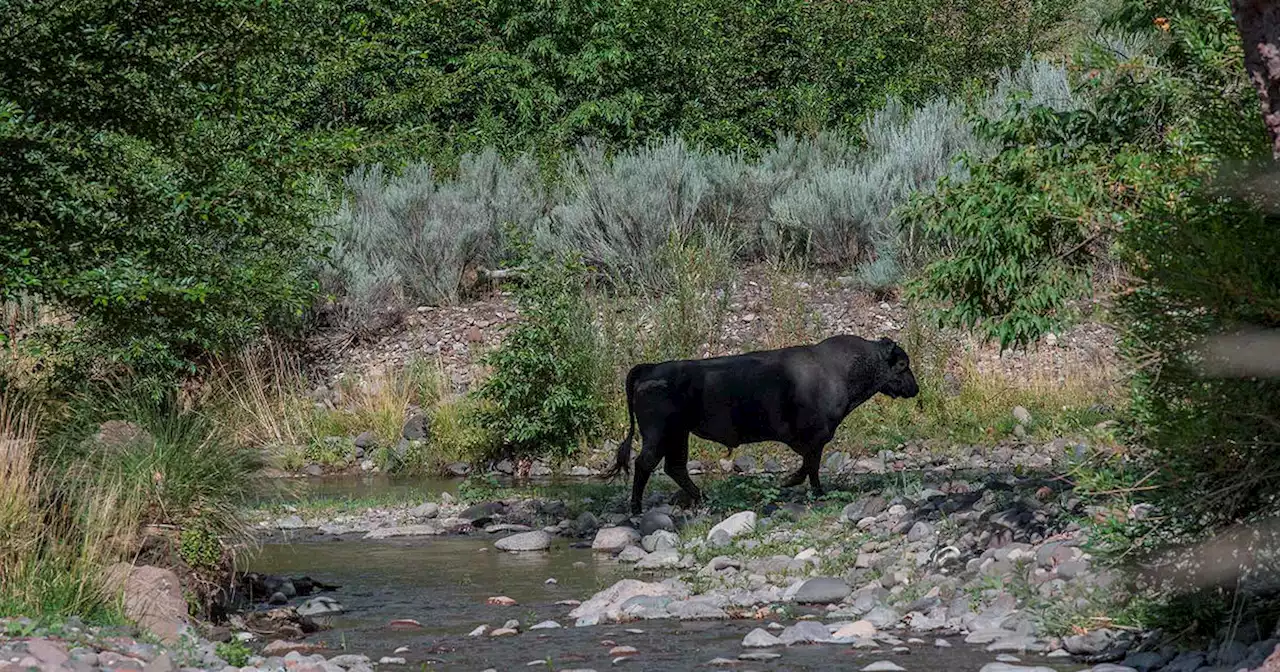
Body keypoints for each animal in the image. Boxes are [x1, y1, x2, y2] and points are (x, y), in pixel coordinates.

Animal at [606, 332, 921, 512]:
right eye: (902, 365)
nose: (914, 388)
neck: (841, 368)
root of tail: (649, 369)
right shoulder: (816, 436)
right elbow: (811, 465)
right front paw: (801, 485)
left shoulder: (813, 440)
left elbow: (810, 464)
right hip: (659, 434)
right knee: (645, 464)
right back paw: (636, 508)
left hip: (678, 435)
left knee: (675, 467)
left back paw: (701, 497)